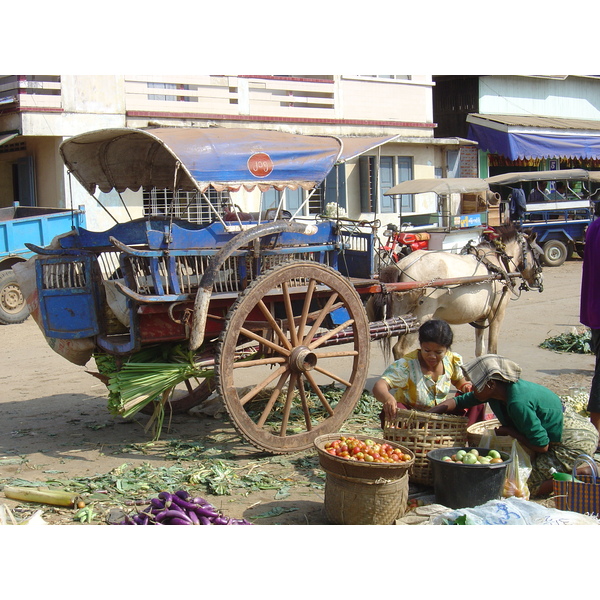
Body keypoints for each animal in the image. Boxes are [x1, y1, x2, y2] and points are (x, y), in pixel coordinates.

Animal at [366, 223, 544, 358]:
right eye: (537, 253)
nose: (539, 281)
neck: (497, 263)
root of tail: (402, 266)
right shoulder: (497, 313)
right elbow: (492, 349)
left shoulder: (481, 317)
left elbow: (479, 350)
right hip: (419, 317)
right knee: (400, 349)